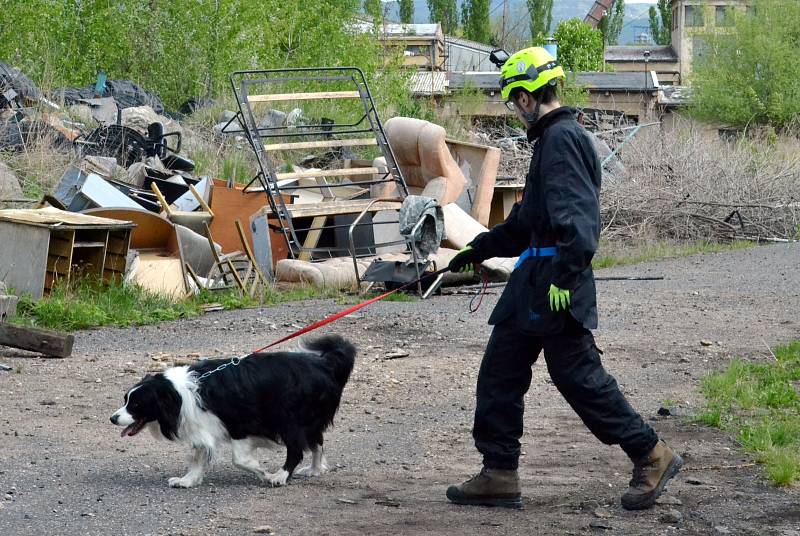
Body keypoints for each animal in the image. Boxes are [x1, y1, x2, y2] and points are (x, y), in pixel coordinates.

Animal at [110, 338, 356, 488]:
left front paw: (260, 471)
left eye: (136, 405)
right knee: (317, 442)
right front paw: (187, 480)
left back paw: (280, 476)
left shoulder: (240, 421)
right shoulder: (202, 426)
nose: (112, 418)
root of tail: (324, 364)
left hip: (288, 417)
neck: (176, 394)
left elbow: (238, 459)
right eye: (125, 400)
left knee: (297, 449)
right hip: (306, 418)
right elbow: (198, 456)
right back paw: (315, 469)